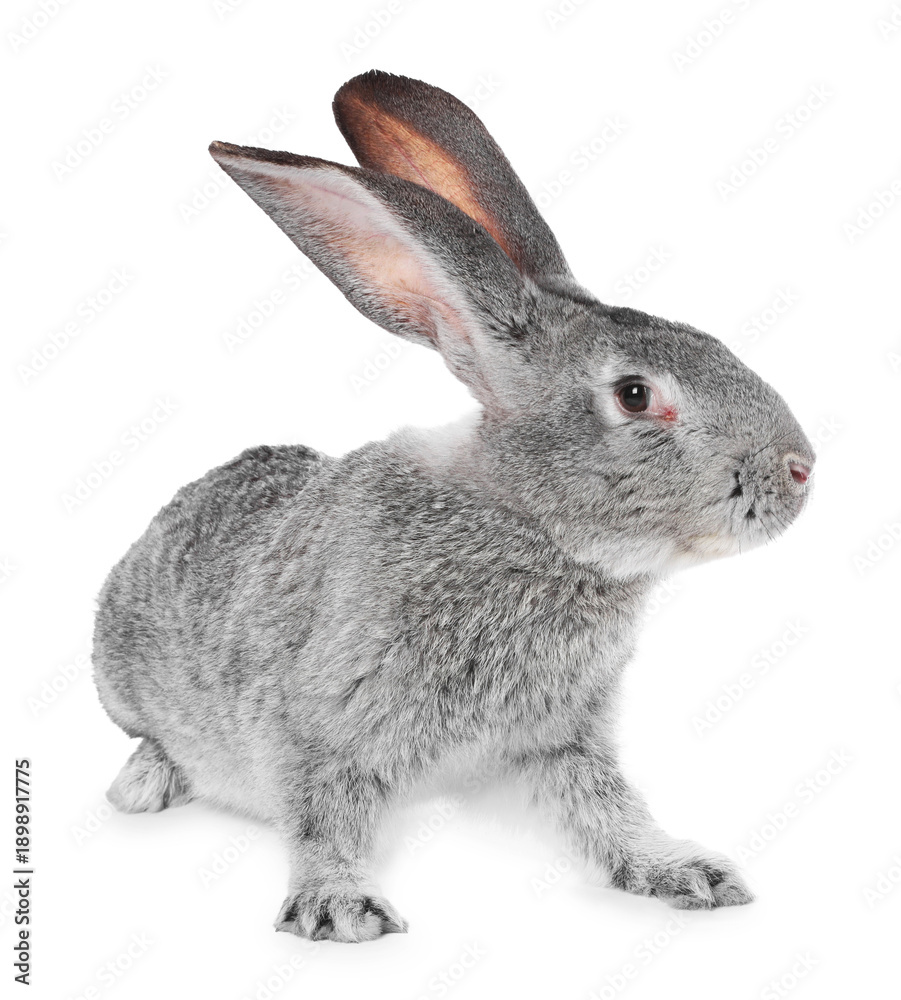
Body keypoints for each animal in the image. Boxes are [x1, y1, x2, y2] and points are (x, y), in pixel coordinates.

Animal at [92, 69, 815, 943]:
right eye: (635, 396)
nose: (801, 469)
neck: (528, 526)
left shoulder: (562, 738)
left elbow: (606, 811)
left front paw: (681, 871)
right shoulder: (319, 721)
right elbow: (321, 818)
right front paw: (340, 909)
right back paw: (145, 782)